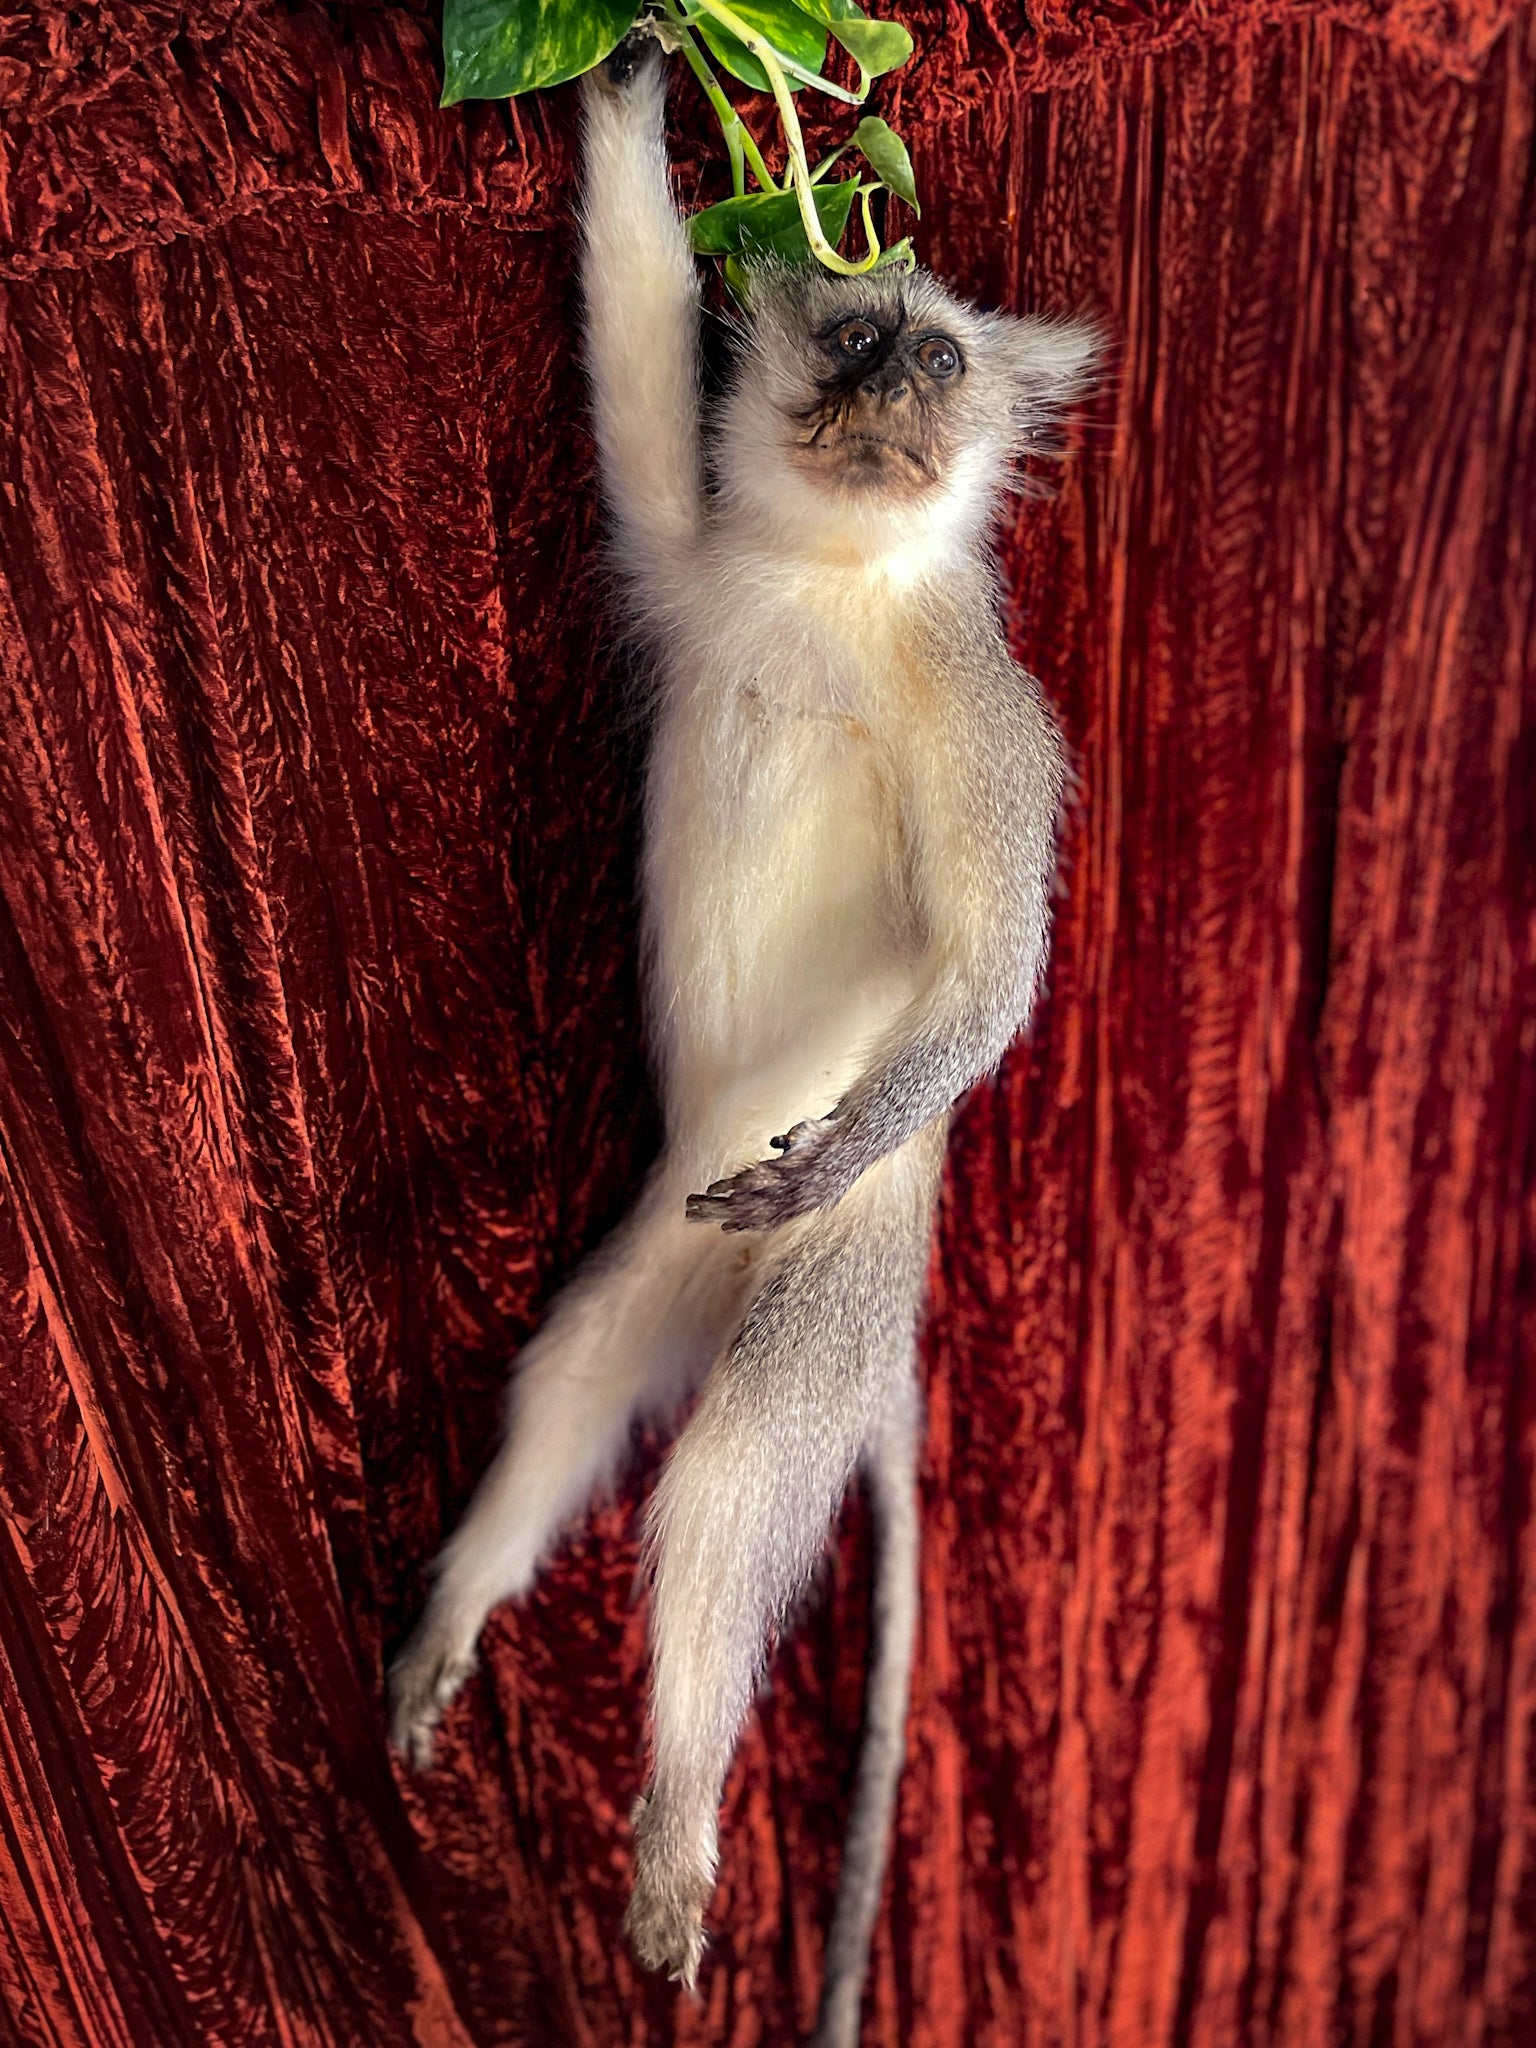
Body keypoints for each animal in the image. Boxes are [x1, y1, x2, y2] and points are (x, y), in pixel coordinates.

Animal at [389, 29, 1097, 2047]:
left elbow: (1001, 971)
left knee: (722, 1480)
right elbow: (638, 374)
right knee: (577, 1376)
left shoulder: (986, 712)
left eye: (941, 363)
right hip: (669, 1249)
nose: (894, 388)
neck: (829, 577)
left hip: (831, 1280)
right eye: (855, 336)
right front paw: (647, 66)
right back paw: (466, 1612)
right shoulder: (696, 555)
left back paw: (681, 1820)